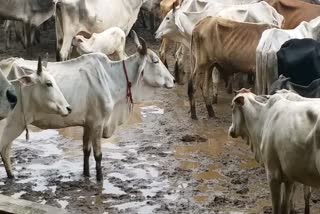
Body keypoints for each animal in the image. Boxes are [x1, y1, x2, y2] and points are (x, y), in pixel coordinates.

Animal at [1, 33, 174, 181]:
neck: (111, 77)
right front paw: (99, 178)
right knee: (5, 149)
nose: (173, 79)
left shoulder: (88, 123)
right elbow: (98, 155)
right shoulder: (98, 123)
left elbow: (86, 150)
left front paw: (86, 174)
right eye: (155, 60)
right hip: (13, 123)